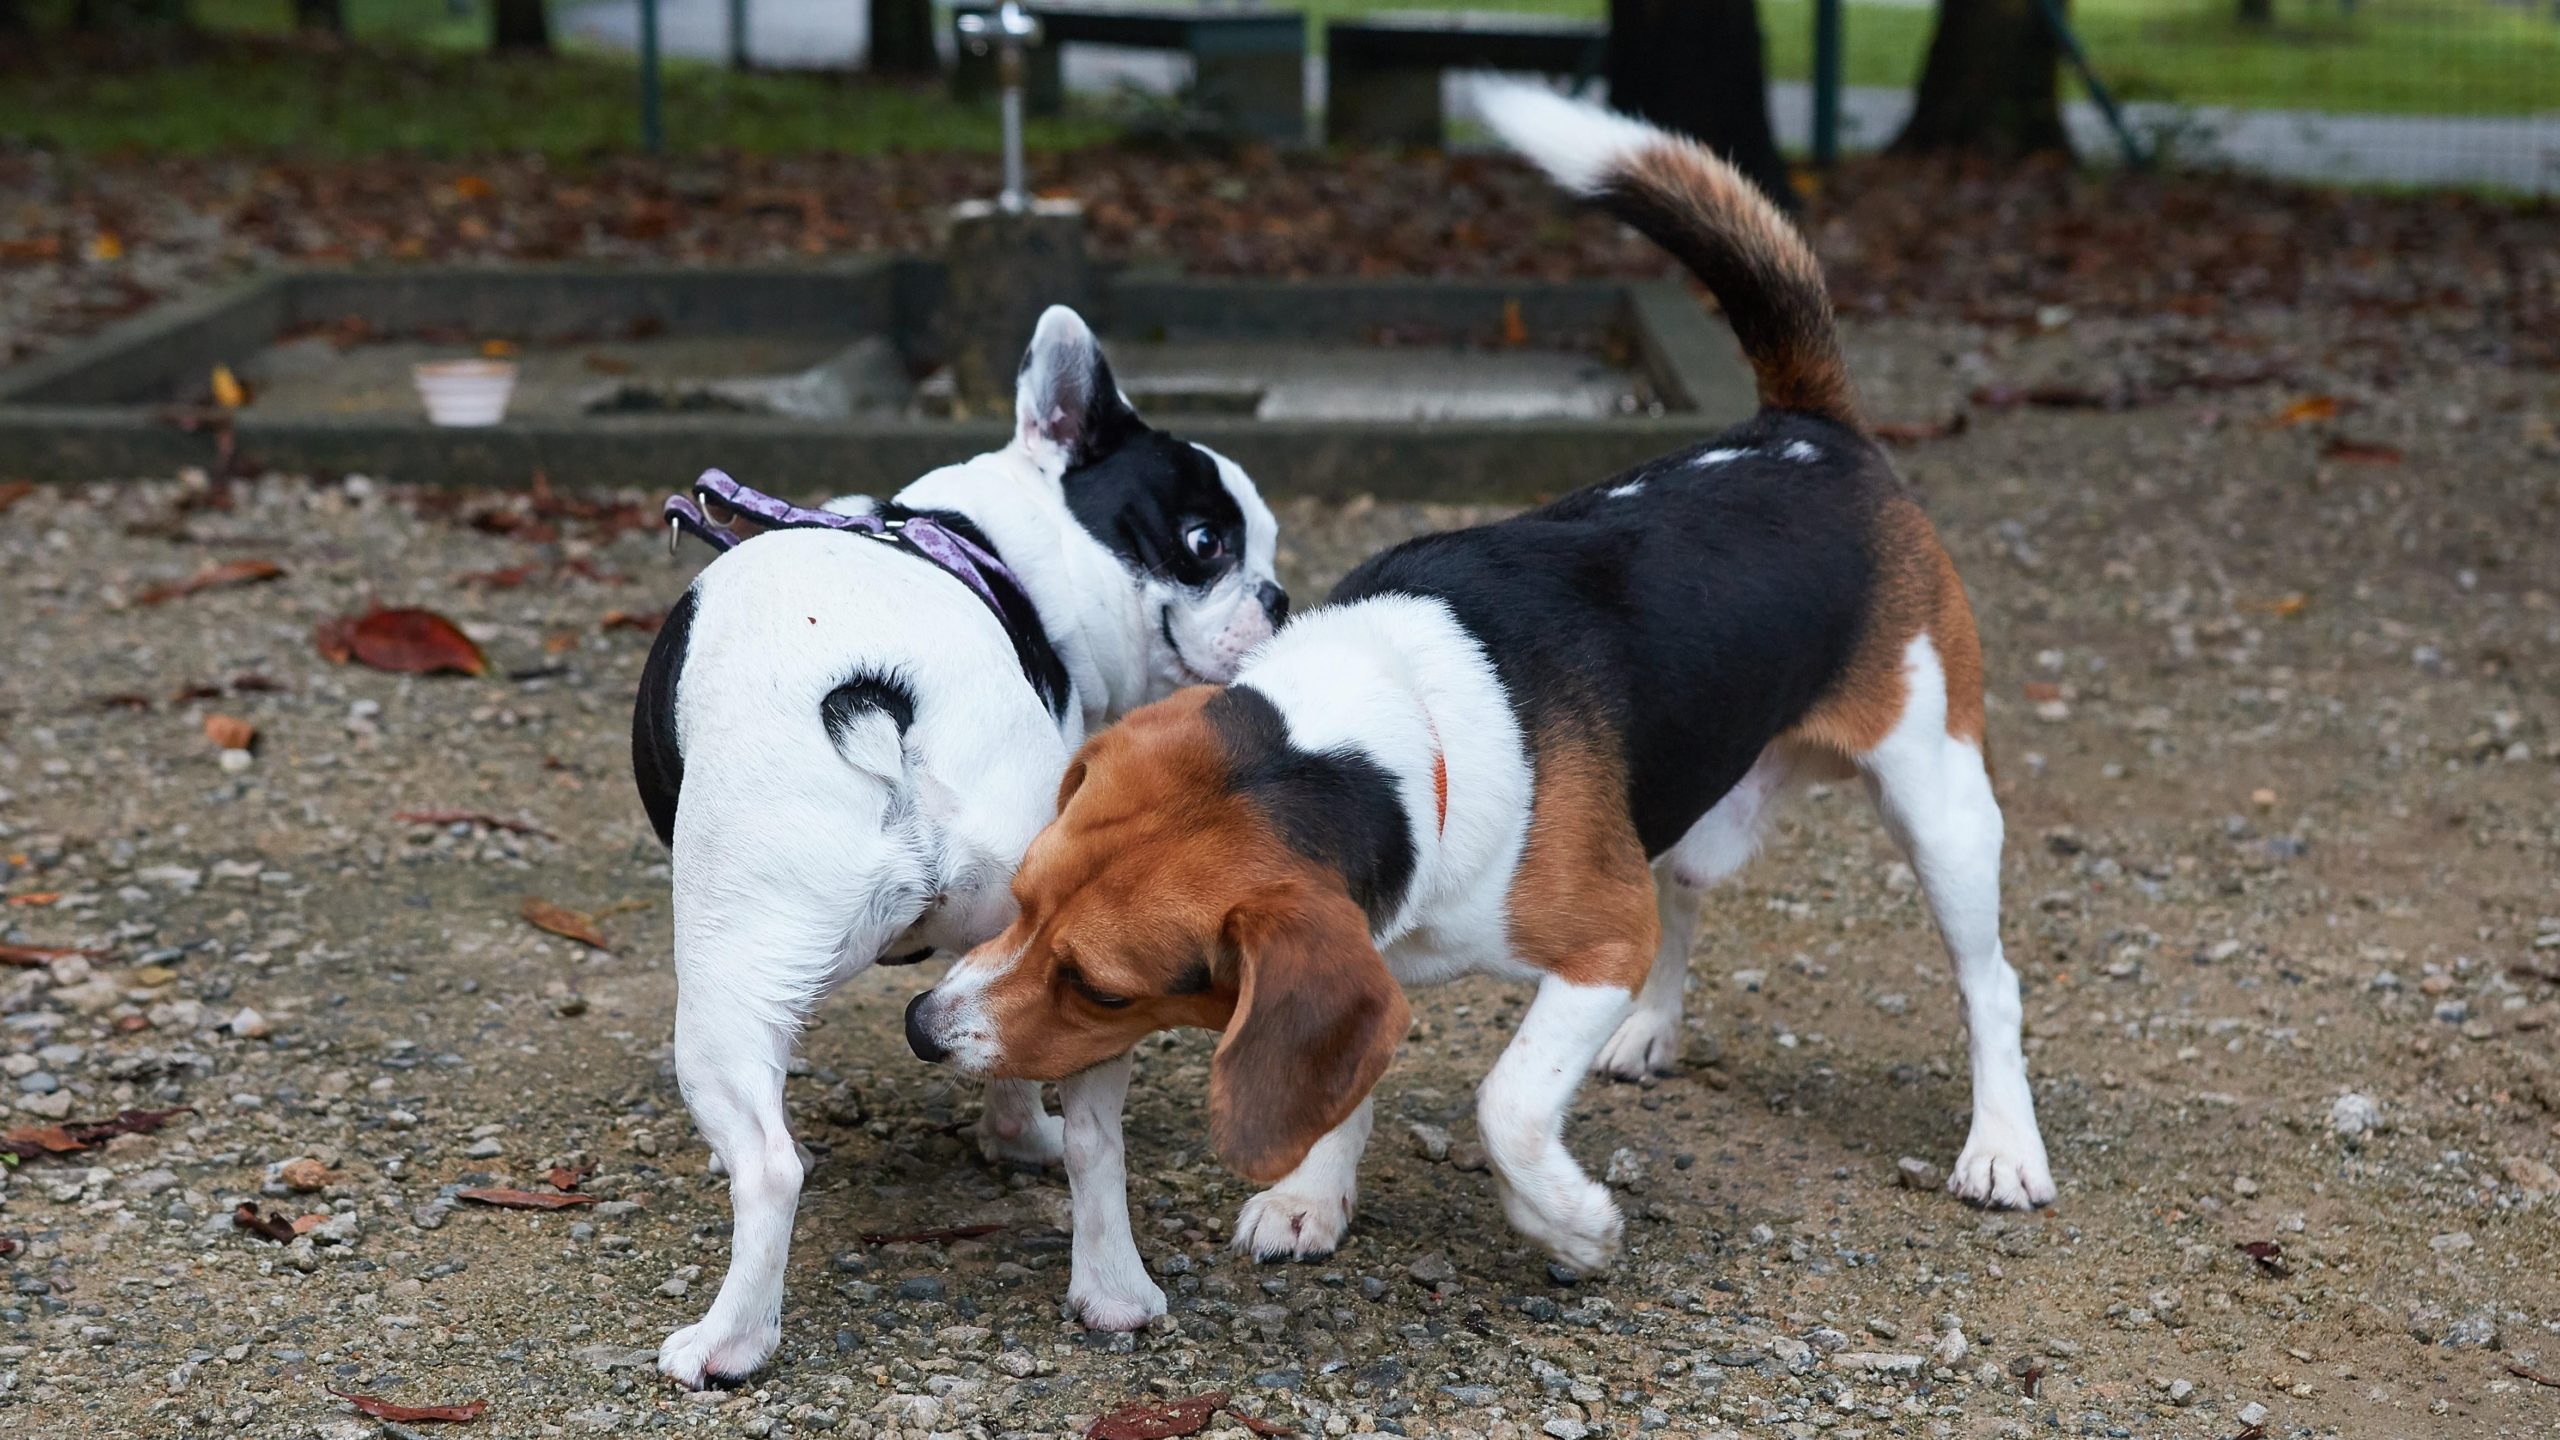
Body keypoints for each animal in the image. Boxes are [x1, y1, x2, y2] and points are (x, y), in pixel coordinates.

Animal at [632, 304, 1290, 1383]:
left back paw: (725, 1344)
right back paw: (1113, 1291)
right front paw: (1019, 1135)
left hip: (725, 972)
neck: (1008, 543)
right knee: (1097, 1141)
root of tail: (882, 693)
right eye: (1206, 543)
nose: (1277, 597)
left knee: (769, 1167)